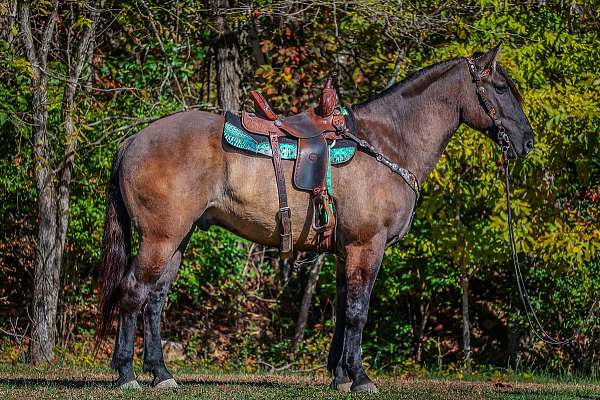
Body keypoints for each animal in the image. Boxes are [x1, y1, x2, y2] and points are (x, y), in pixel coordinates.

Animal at [98, 45, 536, 392]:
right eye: (500, 89)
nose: (527, 142)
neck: (387, 142)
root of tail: (133, 140)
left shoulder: (346, 252)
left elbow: (344, 311)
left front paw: (340, 376)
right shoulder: (366, 246)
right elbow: (359, 312)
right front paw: (360, 378)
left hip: (178, 238)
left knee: (155, 300)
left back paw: (161, 374)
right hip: (161, 238)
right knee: (134, 292)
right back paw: (126, 375)